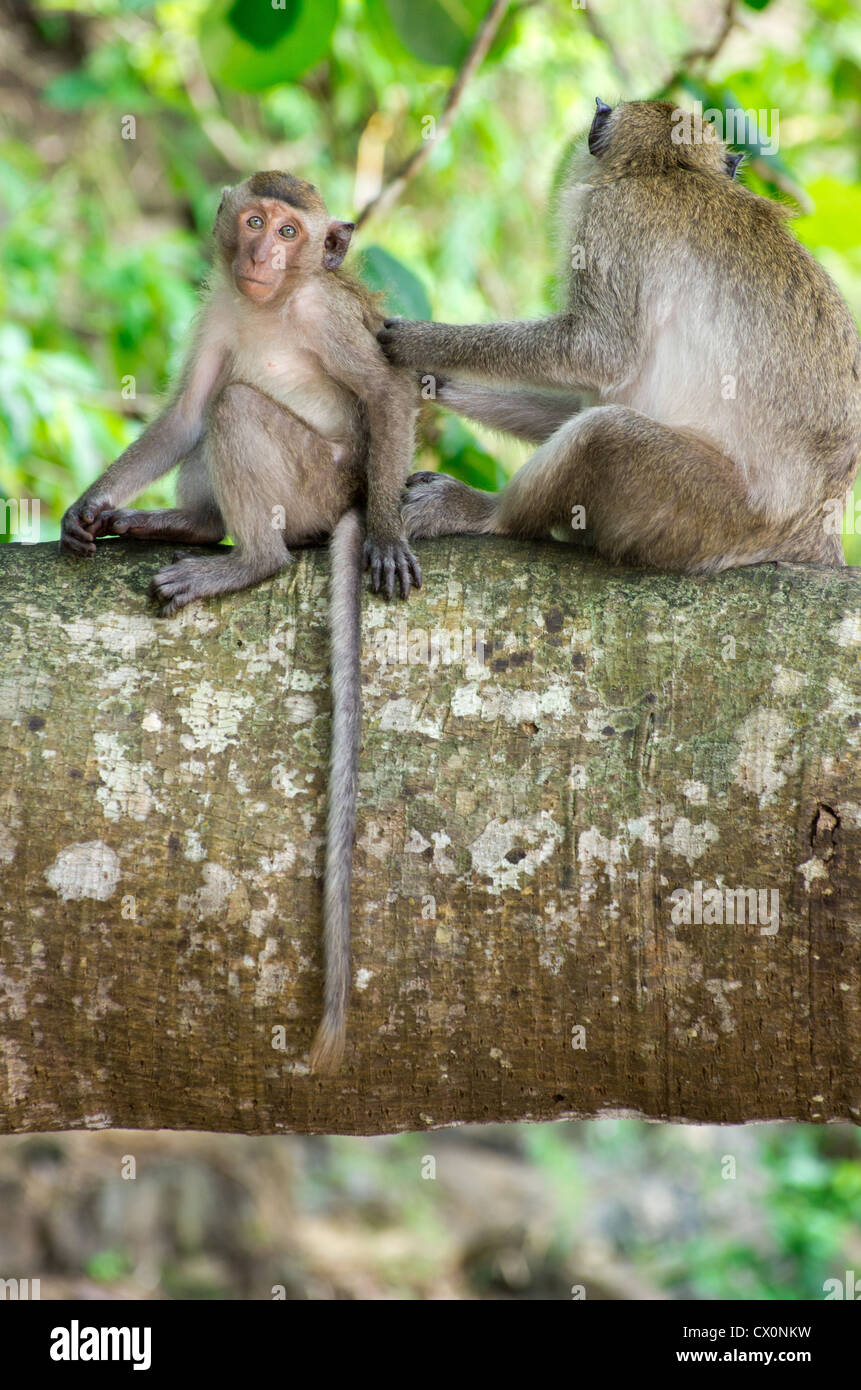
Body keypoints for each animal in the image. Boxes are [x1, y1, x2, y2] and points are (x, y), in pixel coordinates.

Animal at [60, 168, 425, 1067]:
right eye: (255, 222)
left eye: (291, 233)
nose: (261, 256)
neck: (273, 306)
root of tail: (344, 502)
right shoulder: (223, 306)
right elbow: (186, 409)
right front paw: (88, 507)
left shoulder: (325, 314)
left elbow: (384, 390)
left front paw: (390, 536)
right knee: (220, 401)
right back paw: (188, 526)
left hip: (318, 482)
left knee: (240, 410)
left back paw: (250, 559)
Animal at [381, 100, 861, 572]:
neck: (668, 169)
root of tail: (816, 532)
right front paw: (433, 379)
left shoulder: (609, 218)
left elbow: (596, 354)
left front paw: (420, 342)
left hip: (713, 514)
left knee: (604, 432)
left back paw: (489, 514)